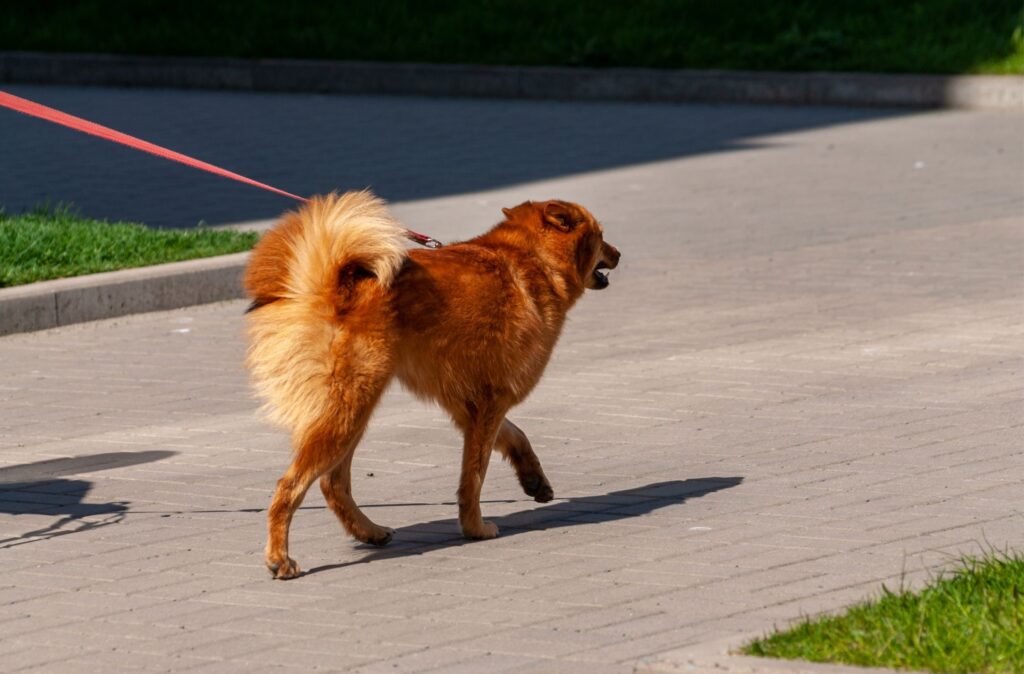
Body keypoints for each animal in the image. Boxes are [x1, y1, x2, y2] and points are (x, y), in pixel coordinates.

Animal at [243, 190, 618, 577]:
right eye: (601, 236)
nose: (618, 254)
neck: (534, 260)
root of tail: (329, 286)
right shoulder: (491, 403)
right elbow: (474, 477)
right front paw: (475, 528)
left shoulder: (472, 405)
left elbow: (516, 437)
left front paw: (534, 479)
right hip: (347, 413)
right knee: (291, 487)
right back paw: (280, 558)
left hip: (352, 416)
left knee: (333, 484)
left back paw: (370, 531)